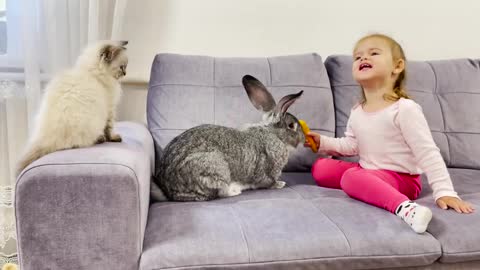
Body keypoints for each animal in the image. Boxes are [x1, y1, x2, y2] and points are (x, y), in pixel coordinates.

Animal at [15, 40, 128, 175]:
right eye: (122, 67)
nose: (126, 73)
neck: (91, 73)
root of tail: (47, 137)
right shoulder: (110, 108)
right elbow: (109, 128)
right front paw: (113, 138)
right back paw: (99, 138)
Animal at [154, 75, 304, 201]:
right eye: (291, 125)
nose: (302, 139)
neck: (273, 133)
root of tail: (169, 188)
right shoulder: (267, 174)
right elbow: (268, 182)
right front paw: (280, 184)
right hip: (216, 169)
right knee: (219, 193)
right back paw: (235, 191)